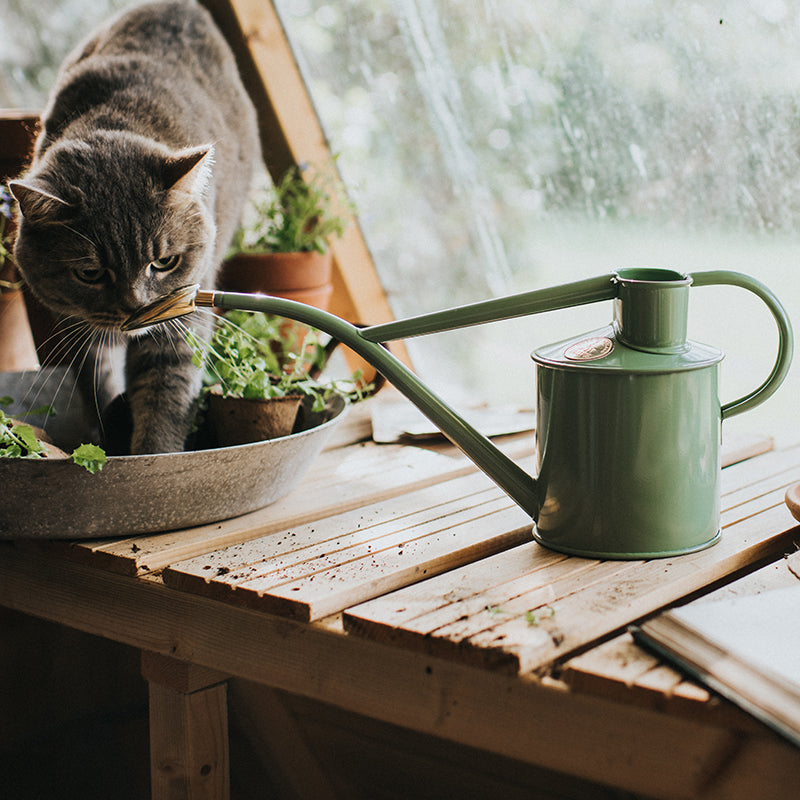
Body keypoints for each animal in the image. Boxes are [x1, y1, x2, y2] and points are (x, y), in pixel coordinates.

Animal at [10, 0, 258, 454]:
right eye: (89, 273)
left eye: (165, 262)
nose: (136, 307)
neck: (117, 122)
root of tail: (183, 6)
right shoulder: (74, 322)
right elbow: (97, 380)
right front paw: (106, 436)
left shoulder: (182, 315)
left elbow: (165, 393)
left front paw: (153, 454)